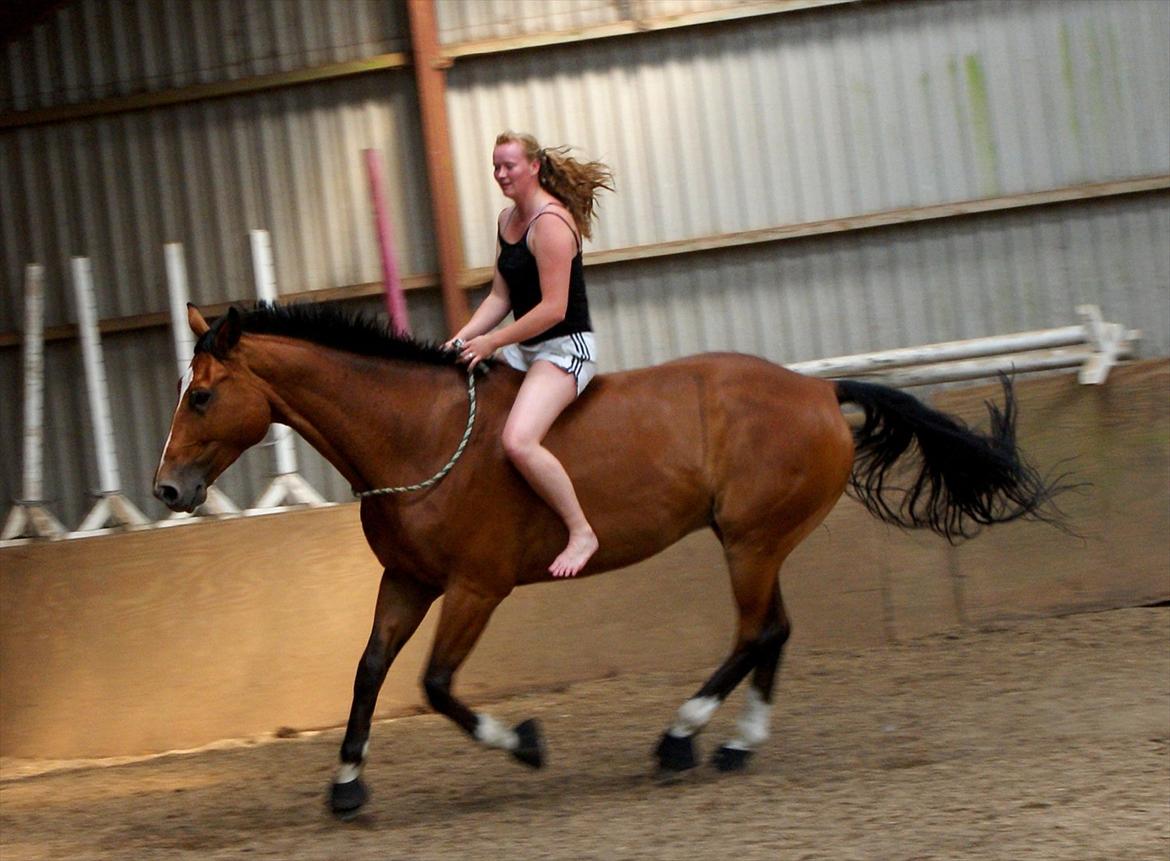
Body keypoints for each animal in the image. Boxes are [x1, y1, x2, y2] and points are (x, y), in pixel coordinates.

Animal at [150, 301, 1057, 814]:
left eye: (202, 395)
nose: (165, 487)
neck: (420, 433)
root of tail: (815, 389)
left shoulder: (476, 587)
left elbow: (436, 685)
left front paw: (524, 743)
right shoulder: (406, 580)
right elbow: (370, 672)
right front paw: (344, 785)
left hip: (752, 542)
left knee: (755, 633)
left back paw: (680, 739)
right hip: (756, 542)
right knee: (775, 631)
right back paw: (735, 744)